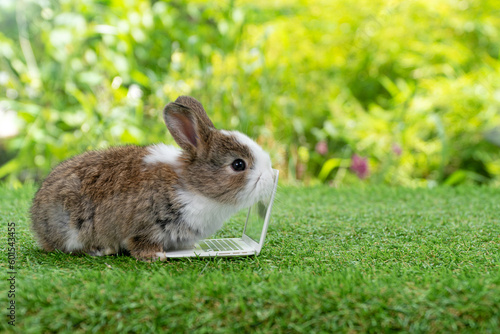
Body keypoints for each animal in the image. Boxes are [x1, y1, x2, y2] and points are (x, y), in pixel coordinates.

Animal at [30, 96, 274, 260]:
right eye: (238, 164)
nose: (271, 178)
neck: (193, 186)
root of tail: (36, 219)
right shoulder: (145, 224)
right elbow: (140, 243)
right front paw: (156, 256)